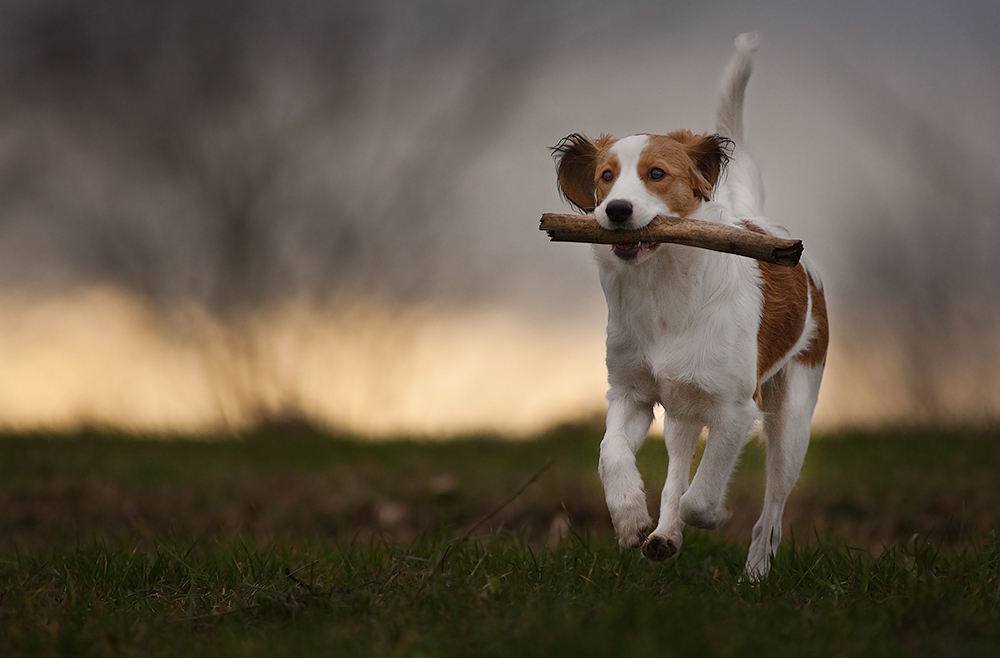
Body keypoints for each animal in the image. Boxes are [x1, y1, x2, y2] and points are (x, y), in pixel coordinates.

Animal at [552, 32, 824, 576]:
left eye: (657, 173)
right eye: (606, 177)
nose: (616, 211)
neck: (663, 292)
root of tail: (759, 220)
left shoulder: (735, 408)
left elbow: (702, 495)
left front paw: (714, 515)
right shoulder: (632, 392)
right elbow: (610, 453)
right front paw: (631, 519)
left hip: (793, 416)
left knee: (773, 505)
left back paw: (756, 570)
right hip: (681, 406)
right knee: (678, 465)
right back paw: (663, 536)